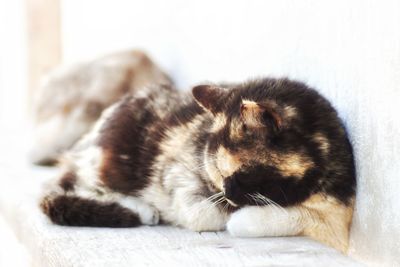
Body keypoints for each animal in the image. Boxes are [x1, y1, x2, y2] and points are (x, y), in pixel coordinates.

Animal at [39, 78, 356, 253]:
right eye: (220, 173)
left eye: (244, 174)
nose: (228, 194)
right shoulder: (176, 175)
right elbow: (206, 214)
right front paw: (230, 215)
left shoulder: (339, 215)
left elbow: (303, 217)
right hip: (107, 160)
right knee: (70, 186)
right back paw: (141, 209)